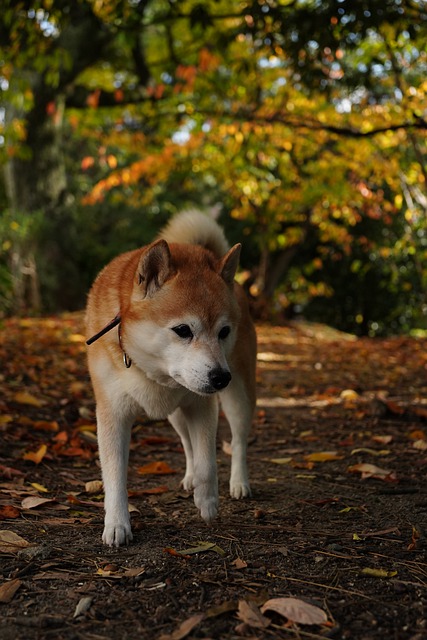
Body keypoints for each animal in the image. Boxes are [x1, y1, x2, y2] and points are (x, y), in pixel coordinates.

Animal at [85, 209, 256, 544]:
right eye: (183, 330)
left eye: (224, 332)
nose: (220, 378)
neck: (153, 371)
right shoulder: (113, 413)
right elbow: (114, 475)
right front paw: (117, 523)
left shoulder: (203, 405)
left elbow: (207, 461)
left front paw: (208, 501)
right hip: (176, 416)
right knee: (187, 444)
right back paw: (188, 478)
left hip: (238, 398)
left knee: (238, 441)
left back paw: (238, 482)